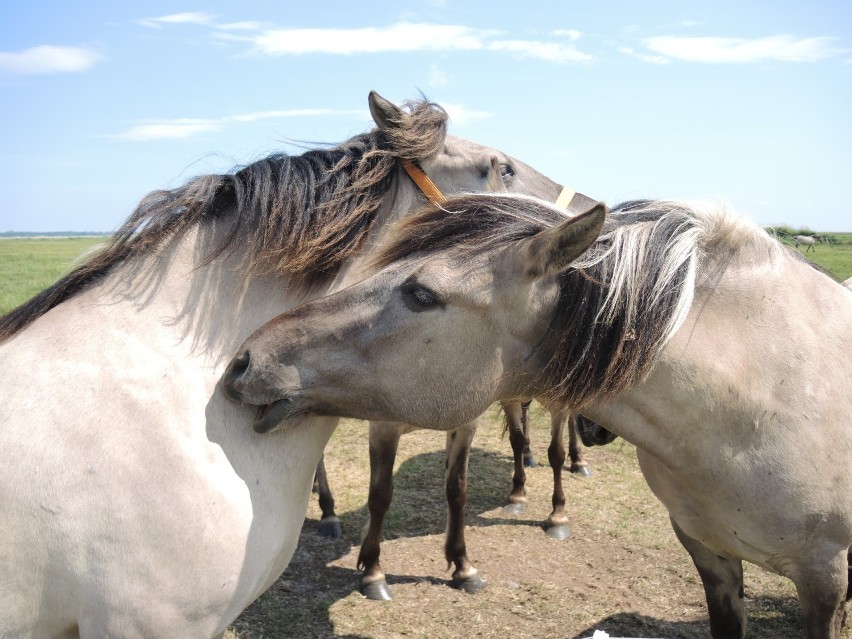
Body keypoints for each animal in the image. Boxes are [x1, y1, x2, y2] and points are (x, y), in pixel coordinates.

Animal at [1, 91, 572, 639]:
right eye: (501, 168)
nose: (590, 215)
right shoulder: (142, 623)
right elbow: (382, 492)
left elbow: (456, 487)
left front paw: (462, 566)